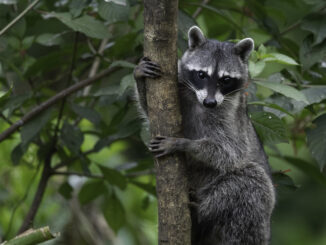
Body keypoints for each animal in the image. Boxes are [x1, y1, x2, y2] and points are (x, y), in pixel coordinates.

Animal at [134, 25, 274, 244]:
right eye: (201, 75)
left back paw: (204, 209)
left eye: (225, 80)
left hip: (255, 222)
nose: (210, 102)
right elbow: (149, 109)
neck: (200, 101)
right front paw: (138, 74)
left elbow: (230, 153)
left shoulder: (231, 118)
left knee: (251, 182)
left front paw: (183, 143)